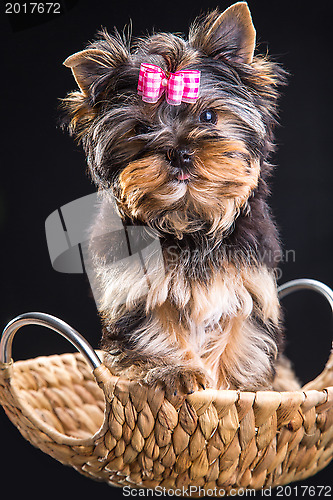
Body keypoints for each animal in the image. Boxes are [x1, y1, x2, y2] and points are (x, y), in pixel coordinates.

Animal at [62, 0, 298, 398]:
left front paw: (232, 389)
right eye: (140, 128)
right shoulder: (136, 289)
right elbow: (156, 328)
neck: (189, 220)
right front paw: (177, 372)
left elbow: (241, 339)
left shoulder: (249, 284)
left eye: (209, 115)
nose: (179, 151)